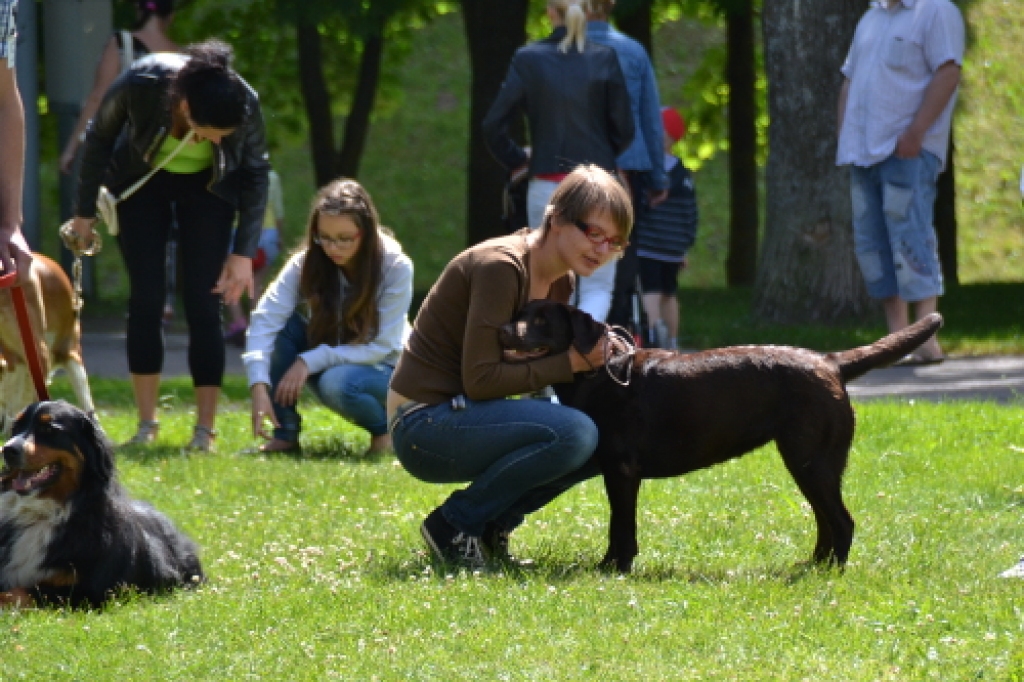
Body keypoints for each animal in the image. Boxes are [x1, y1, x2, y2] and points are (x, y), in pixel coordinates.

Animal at [0, 399, 203, 606]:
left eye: (49, 429)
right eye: (16, 428)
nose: (7, 450)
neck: (43, 512)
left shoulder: (87, 591)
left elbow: (16, 592)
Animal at [499, 301, 937, 569]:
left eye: (542, 321)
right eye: (520, 313)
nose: (504, 330)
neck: (598, 375)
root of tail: (830, 361)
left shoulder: (621, 470)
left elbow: (621, 526)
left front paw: (615, 569)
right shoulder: (614, 469)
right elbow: (616, 525)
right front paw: (609, 565)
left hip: (811, 460)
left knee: (842, 521)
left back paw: (831, 574)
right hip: (811, 463)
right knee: (826, 520)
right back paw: (814, 565)